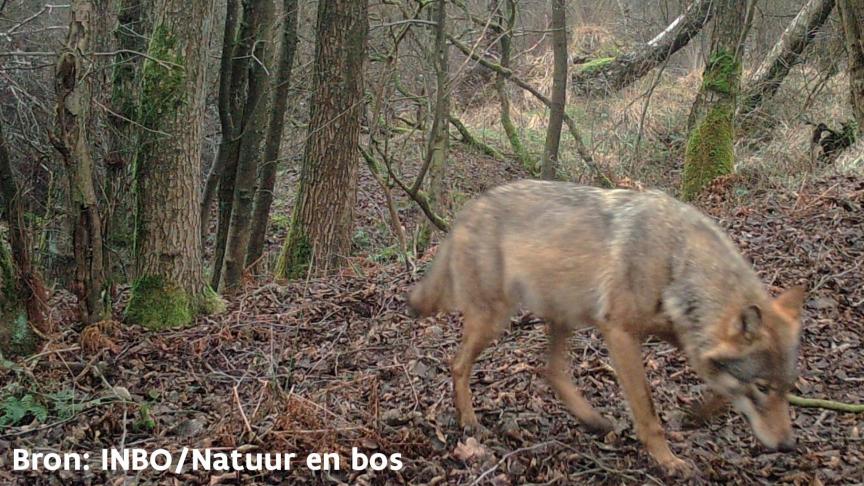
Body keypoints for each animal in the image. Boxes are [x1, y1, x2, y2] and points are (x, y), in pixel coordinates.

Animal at [408, 180, 808, 476]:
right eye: (762, 388)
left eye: (787, 388)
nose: (789, 446)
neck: (676, 261)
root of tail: (468, 209)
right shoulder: (621, 335)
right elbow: (647, 411)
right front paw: (668, 461)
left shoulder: (682, 337)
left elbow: (720, 390)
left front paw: (695, 415)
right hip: (496, 319)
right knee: (458, 364)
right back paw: (469, 422)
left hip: (562, 316)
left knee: (551, 372)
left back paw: (593, 421)